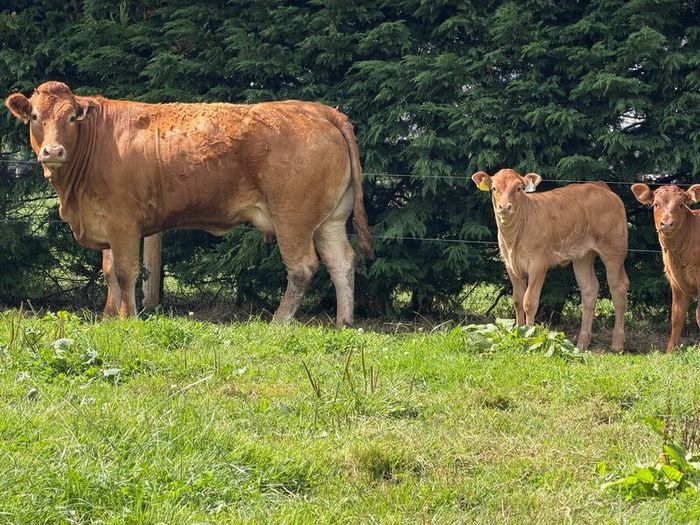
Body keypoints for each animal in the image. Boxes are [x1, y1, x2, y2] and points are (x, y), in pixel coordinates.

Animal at [5, 81, 373, 326]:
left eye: (71, 118)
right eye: (34, 116)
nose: (53, 151)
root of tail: (319, 110)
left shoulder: (124, 221)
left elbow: (125, 272)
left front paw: (128, 319)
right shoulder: (105, 221)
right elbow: (109, 271)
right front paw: (110, 317)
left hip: (292, 219)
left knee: (302, 268)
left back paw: (279, 322)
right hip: (329, 221)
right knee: (342, 262)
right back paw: (344, 322)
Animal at [472, 168, 629, 351]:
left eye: (519, 188)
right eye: (494, 188)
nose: (504, 207)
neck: (514, 239)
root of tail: (600, 186)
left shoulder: (538, 264)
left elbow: (529, 302)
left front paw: (529, 336)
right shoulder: (510, 265)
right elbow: (517, 300)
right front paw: (519, 331)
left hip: (614, 251)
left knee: (618, 289)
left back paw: (617, 343)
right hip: (583, 255)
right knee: (589, 289)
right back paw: (582, 343)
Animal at [631, 183, 700, 352]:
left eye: (681, 205)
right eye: (656, 204)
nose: (667, 223)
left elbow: (698, 315)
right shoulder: (676, 283)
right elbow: (676, 316)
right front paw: (671, 350)